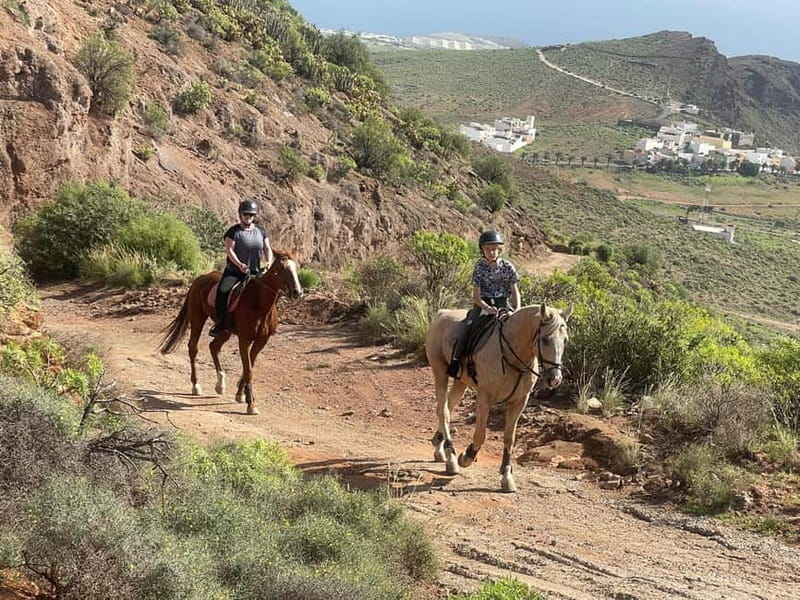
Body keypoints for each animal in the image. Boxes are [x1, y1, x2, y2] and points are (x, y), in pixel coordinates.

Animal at [158, 251, 303, 416]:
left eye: (296, 267)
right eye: (281, 269)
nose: (297, 292)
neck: (259, 304)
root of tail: (200, 278)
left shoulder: (262, 341)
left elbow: (248, 367)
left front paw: (241, 395)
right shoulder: (244, 340)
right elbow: (248, 370)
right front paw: (251, 404)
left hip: (225, 330)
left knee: (214, 347)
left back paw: (220, 384)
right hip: (197, 319)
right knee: (193, 348)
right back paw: (196, 386)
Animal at [425, 303, 571, 492]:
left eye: (565, 340)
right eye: (545, 339)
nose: (554, 379)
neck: (511, 356)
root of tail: (442, 314)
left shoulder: (518, 402)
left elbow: (510, 438)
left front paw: (507, 476)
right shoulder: (484, 398)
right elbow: (480, 435)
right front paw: (466, 457)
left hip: (460, 382)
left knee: (447, 408)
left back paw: (439, 448)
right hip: (440, 373)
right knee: (443, 411)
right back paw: (451, 459)